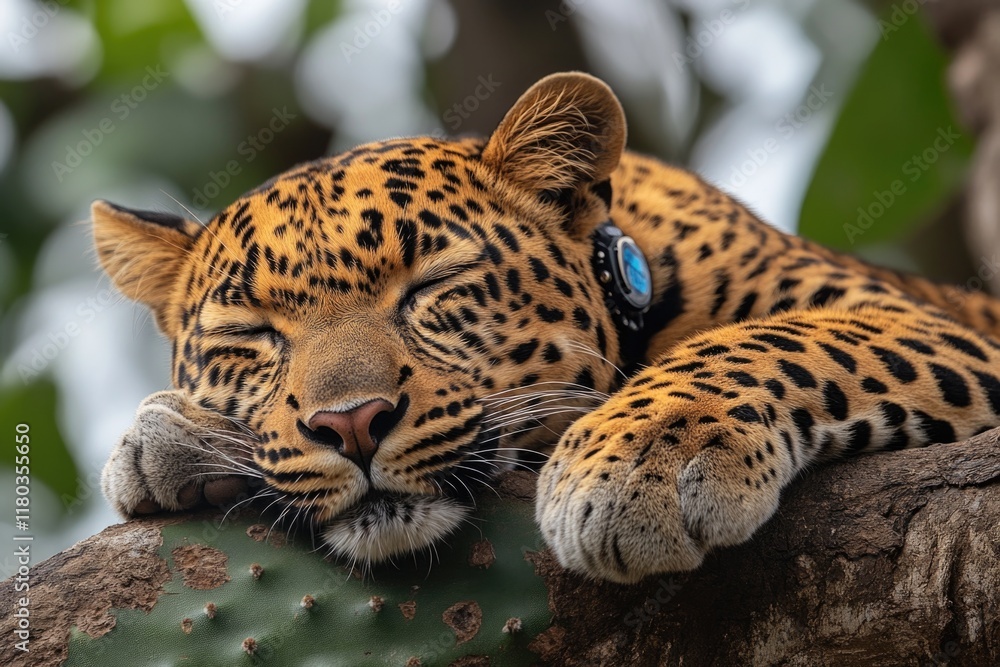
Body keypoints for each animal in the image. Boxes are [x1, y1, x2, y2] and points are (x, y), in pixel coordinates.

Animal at [94, 72, 1000, 584]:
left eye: (433, 285)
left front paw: (637, 461)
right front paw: (169, 436)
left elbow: (777, 337)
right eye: (251, 336)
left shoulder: (918, 318)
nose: (351, 424)